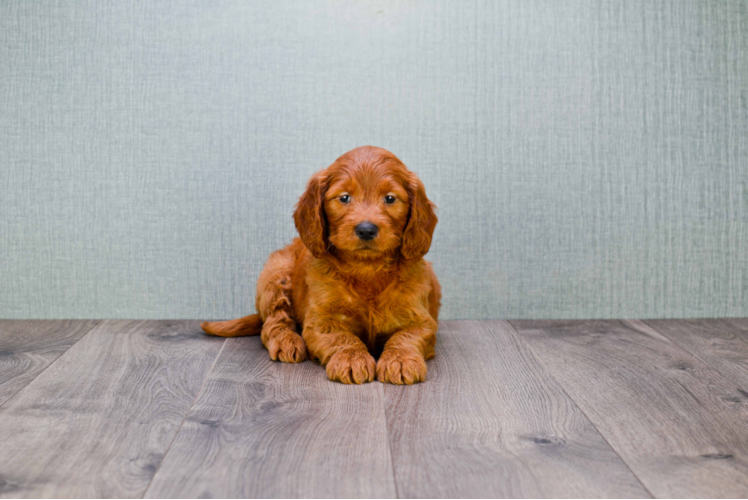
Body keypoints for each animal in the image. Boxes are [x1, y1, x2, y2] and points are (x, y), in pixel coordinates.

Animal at [202, 146, 442, 384]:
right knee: (272, 322)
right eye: (344, 197)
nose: (366, 229)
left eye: (390, 198)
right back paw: (287, 341)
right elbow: (342, 337)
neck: (367, 269)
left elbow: (405, 336)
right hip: (276, 272)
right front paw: (351, 358)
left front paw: (400, 360)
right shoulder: (321, 322)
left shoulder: (421, 320)